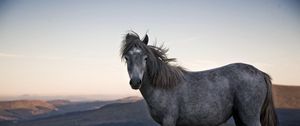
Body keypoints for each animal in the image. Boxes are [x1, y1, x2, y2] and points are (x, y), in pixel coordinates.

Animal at [120, 31, 278, 126]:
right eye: (127, 58)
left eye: (145, 58)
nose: (135, 82)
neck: (162, 87)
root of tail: (261, 73)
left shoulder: (169, 120)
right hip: (240, 117)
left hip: (250, 118)